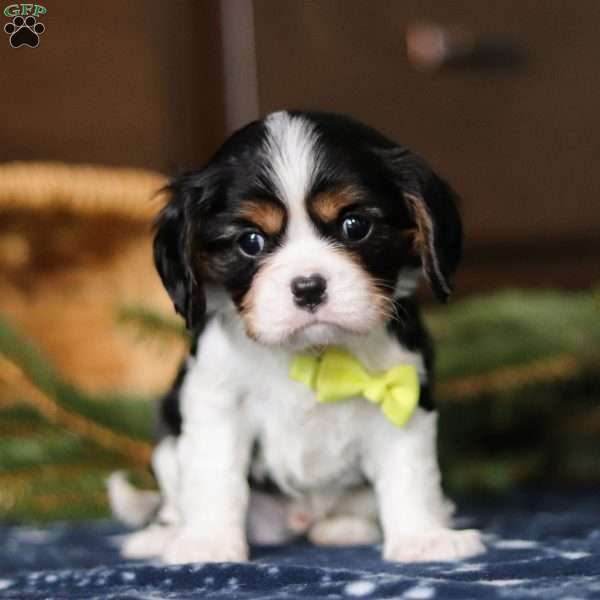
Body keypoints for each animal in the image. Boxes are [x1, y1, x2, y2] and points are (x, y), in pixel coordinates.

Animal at [111, 110, 482, 564]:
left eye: (355, 226)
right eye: (250, 241)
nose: (308, 287)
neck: (314, 352)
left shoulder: (403, 391)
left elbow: (409, 472)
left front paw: (423, 537)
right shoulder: (216, 400)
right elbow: (215, 475)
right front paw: (208, 543)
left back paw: (345, 527)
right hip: (167, 441)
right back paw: (161, 536)